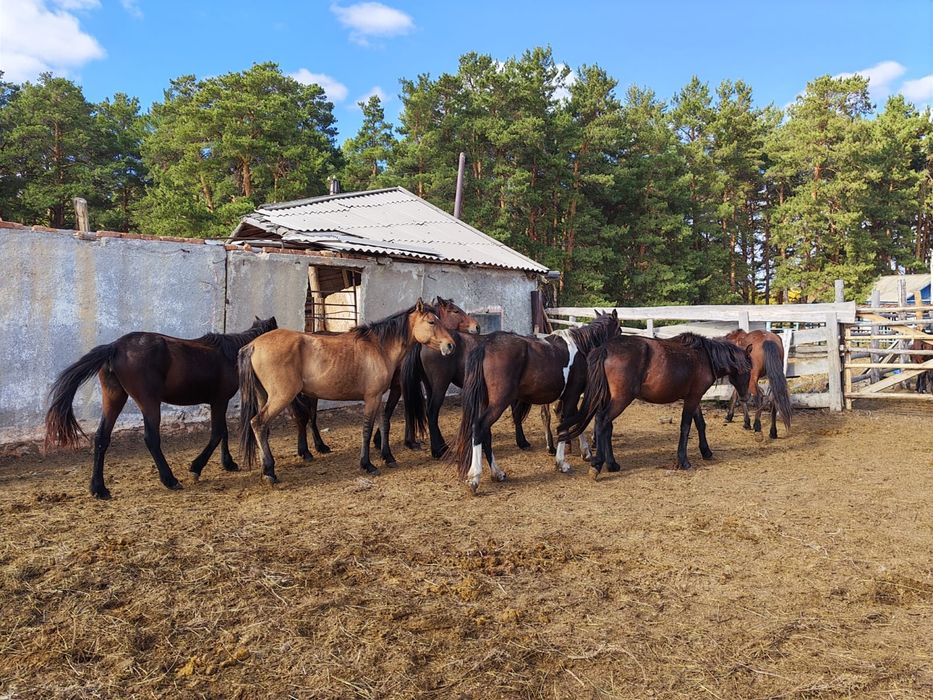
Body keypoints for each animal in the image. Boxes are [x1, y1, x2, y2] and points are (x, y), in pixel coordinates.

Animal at [45, 317, 278, 499]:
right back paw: (170, 479)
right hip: (149, 402)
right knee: (151, 439)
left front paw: (228, 463)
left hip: (114, 398)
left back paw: (99, 489)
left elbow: (223, 432)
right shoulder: (219, 400)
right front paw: (196, 467)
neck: (229, 353)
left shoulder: (218, 402)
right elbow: (218, 432)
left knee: (102, 437)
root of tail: (115, 347)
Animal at [238, 300, 455, 483]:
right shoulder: (371, 398)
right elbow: (367, 429)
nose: (450, 345)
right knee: (258, 423)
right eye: (431, 322)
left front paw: (388, 457)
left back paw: (267, 469)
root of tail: (253, 345)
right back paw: (269, 471)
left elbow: (383, 424)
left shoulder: (378, 397)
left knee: (263, 428)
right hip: (282, 397)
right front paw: (367, 464)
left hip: (264, 396)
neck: (379, 347)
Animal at [453, 311, 620, 494]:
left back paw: (497, 473)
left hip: (487, 402)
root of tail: (485, 345)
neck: (580, 346)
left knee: (486, 433)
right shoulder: (572, 395)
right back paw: (474, 477)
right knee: (479, 427)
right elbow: (567, 423)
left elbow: (571, 421)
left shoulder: (568, 397)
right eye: (619, 330)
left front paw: (585, 452)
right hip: (499, 402)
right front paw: (562, 462)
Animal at [557, 333, 751, 479]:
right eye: (748, 370)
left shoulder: (694, 398)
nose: (747, 396)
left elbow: (701, 425)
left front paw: (706, 452)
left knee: (606, 426)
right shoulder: (693, 398)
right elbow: (686, 427)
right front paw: (684, 461)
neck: (704, 357)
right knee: (603, 420)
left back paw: (612, 464)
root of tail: (606, 348)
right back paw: (597, 465)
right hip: (621, 399)